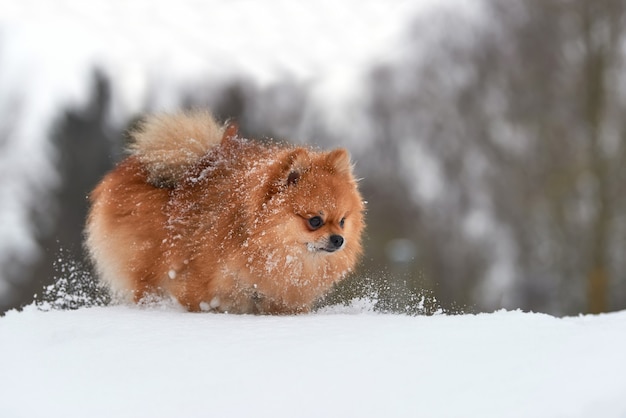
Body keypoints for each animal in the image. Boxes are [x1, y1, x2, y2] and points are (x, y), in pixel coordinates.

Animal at [85, 111, 364, 314]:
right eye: (315, 221)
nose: (339, 239)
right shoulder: (199, 288)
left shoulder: (281, 299)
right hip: (148, 267)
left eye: (342, 221)